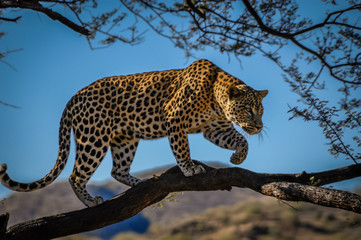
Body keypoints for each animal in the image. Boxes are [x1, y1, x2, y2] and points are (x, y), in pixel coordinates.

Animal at [0, 59, 268, 207]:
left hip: (125, 139)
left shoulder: (215, 128)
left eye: (261, 110)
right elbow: (182, 147)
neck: (216, 100)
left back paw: (142, 183)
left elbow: (240, 140)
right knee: (76, 175)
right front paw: (190, 168)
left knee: (117, 170)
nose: (259, 126)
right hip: (93, 138)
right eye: (248, 109)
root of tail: (74, 97)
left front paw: (237, 157)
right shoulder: (175, 118)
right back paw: (90, 201)